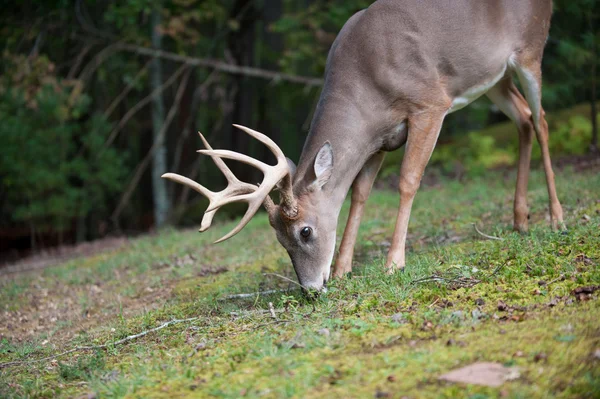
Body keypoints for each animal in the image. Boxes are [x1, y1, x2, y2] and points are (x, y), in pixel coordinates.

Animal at [163, 0, 564, 294]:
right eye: (278, 239)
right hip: (493, 77)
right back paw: (520, 219)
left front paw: (393, 262)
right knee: (524, 119)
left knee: (542, 120)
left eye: (304, 231)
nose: (311, 289)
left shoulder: (429, 103)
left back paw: (556, 218)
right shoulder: (378, 139)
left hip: (530, 48)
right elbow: (359, 194)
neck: (366, 81)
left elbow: (408, 180)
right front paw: (343, 269)